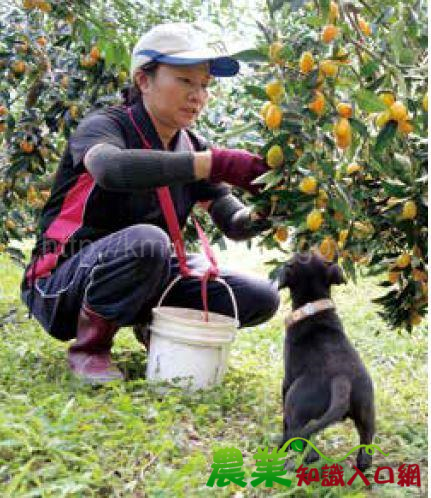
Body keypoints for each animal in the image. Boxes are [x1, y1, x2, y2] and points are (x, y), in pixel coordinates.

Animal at [276, 253, 374, 470]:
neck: (313, 309)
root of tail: (341, 379)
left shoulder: (286, 381)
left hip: (296, 406)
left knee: (302, 442)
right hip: (366, 410)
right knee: (366, 447)